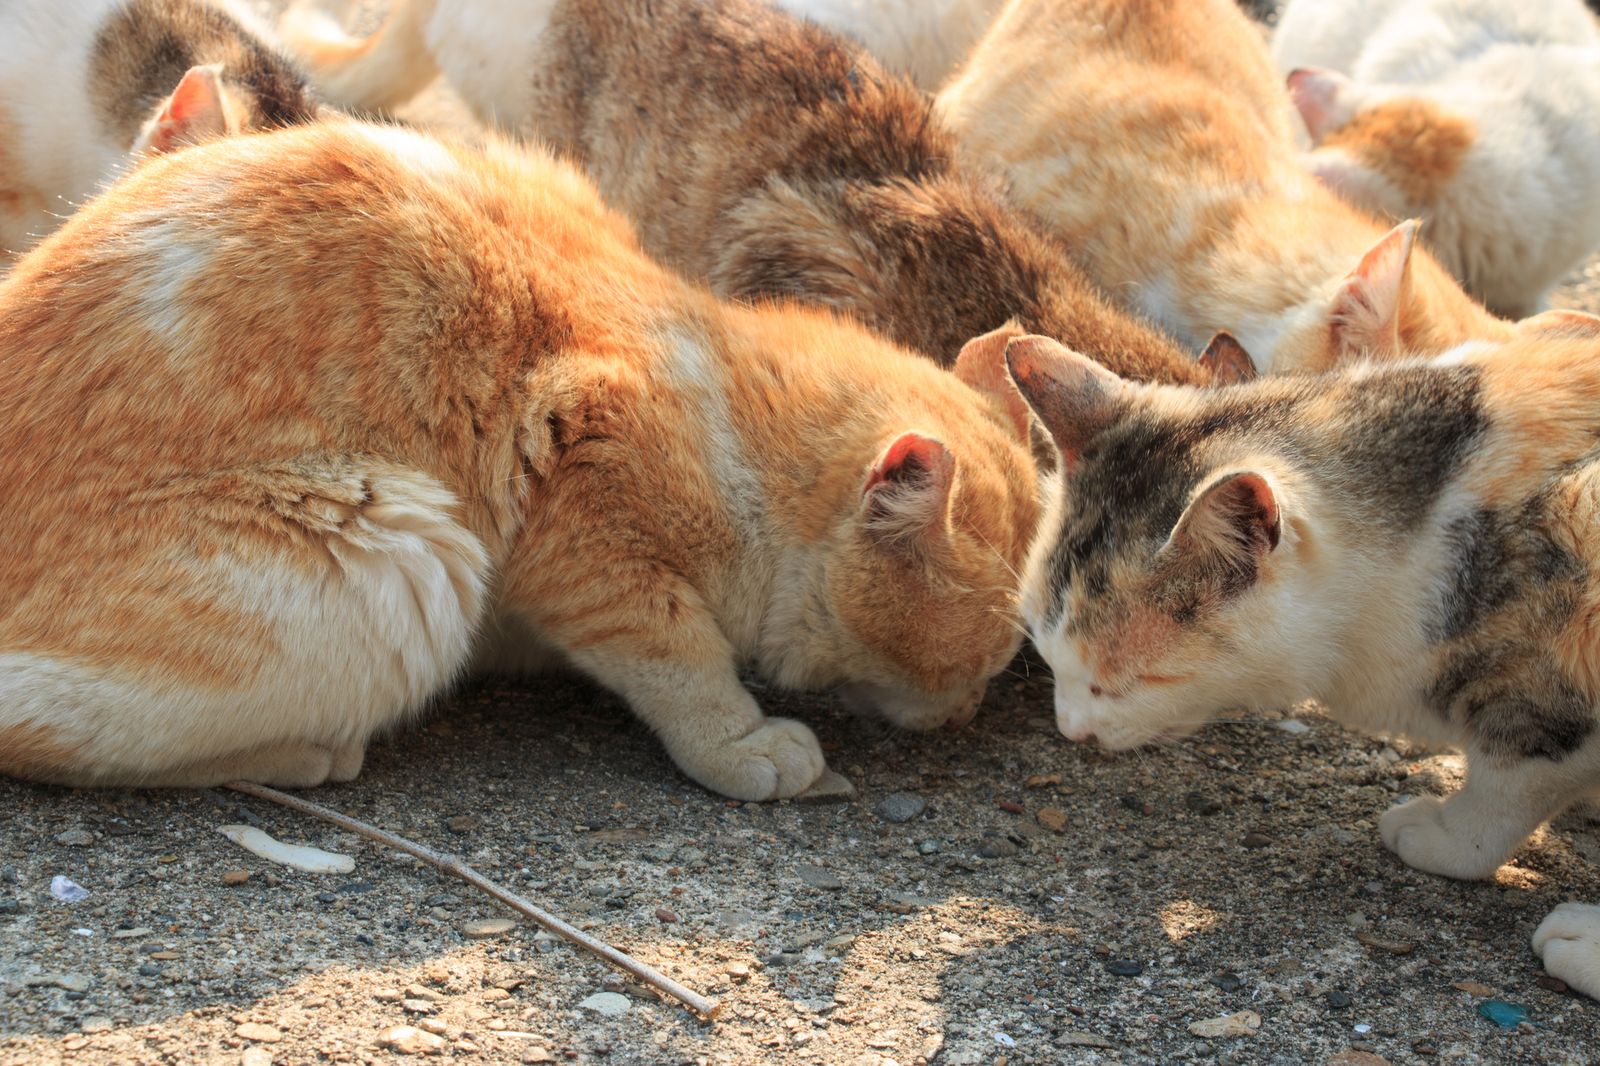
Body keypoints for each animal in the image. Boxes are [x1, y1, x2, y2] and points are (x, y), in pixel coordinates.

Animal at [0, 118, 1049, 797]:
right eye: (988, 658)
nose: (965, 711)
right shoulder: (584, 510)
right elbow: (680, 654)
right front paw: (742, 742)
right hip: (408, 553)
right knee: (42, 733)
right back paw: (304, 754)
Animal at [998, 315, 1600, 998]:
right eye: (1046, 654)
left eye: (1131, 681)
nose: (1070, 730)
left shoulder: (1543, 684)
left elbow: (1509, 782)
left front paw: (1449, 836)